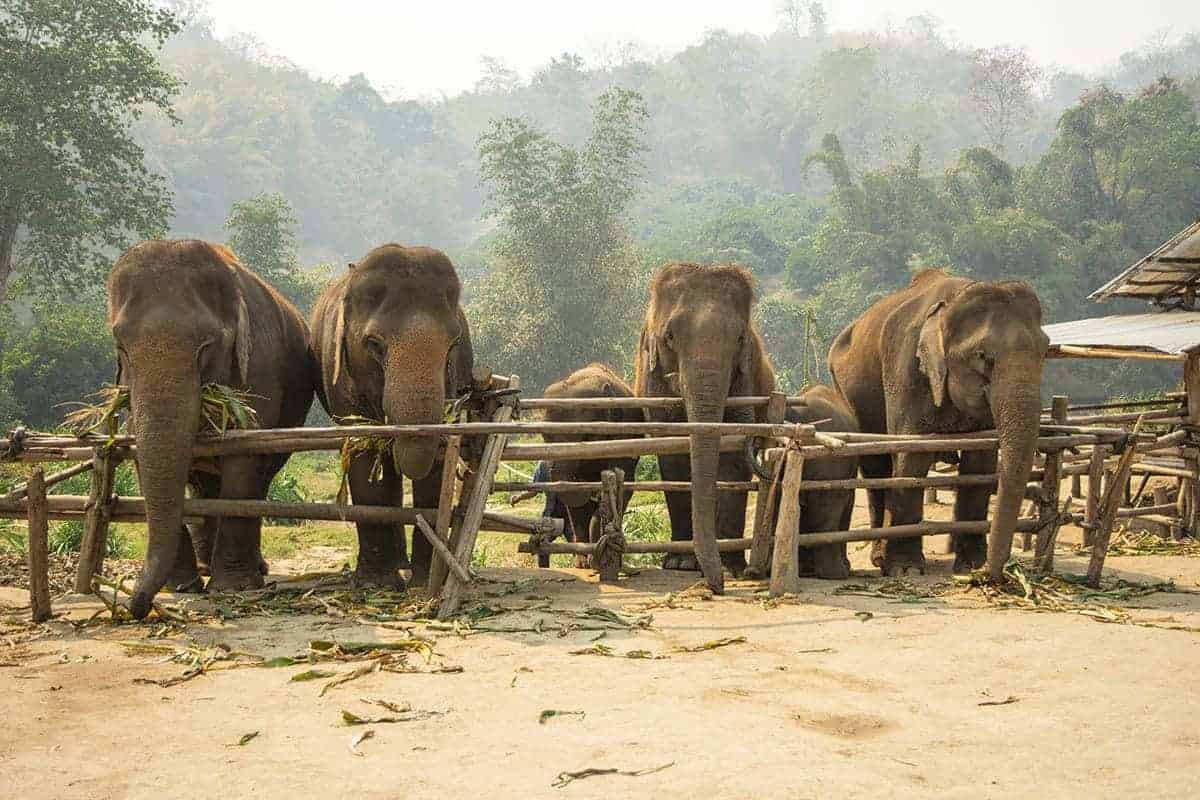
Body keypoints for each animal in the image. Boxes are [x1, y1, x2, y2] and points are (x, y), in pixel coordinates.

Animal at [109, 240, 316, 620]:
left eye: (206, 345)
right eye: (121, 347)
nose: (134, 606)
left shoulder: (259, 368)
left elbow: (242, 458)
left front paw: (232, 588)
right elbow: (143, 459)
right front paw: (182, 587)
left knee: (257, 481)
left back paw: (252, 570)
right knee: (204, 485)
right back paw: (206, 569)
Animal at [311, 244, 473, 589]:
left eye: (454, 343)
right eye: (373, 344)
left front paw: (422, 580)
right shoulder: (340, 375)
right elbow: (364, 448)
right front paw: (377, 582)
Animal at [541, 363, 642, 569]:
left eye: (586, 436)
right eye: (545, 436)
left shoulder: (624, 437)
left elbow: (622, 488)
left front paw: (597, 558)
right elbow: (576, 501)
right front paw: (583, 564)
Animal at [634, 262, 775, 594]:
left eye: (740, 339)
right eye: (670, 337)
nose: (717, 587)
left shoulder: (745, 382)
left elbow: (732, 457)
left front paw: (733, 567)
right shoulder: (654, 385)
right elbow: (673, 458)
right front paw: (681, 564)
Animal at [828, 269, 1049, 579]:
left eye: (1046, 350)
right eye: (982, 356)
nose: (989, 576)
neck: (952, 300)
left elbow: (981, 460)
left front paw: (971, 565)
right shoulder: (906, 369)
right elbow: (912, 456)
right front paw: (906, 569)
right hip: (852, 393)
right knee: (877, 465)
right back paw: (880, 558)